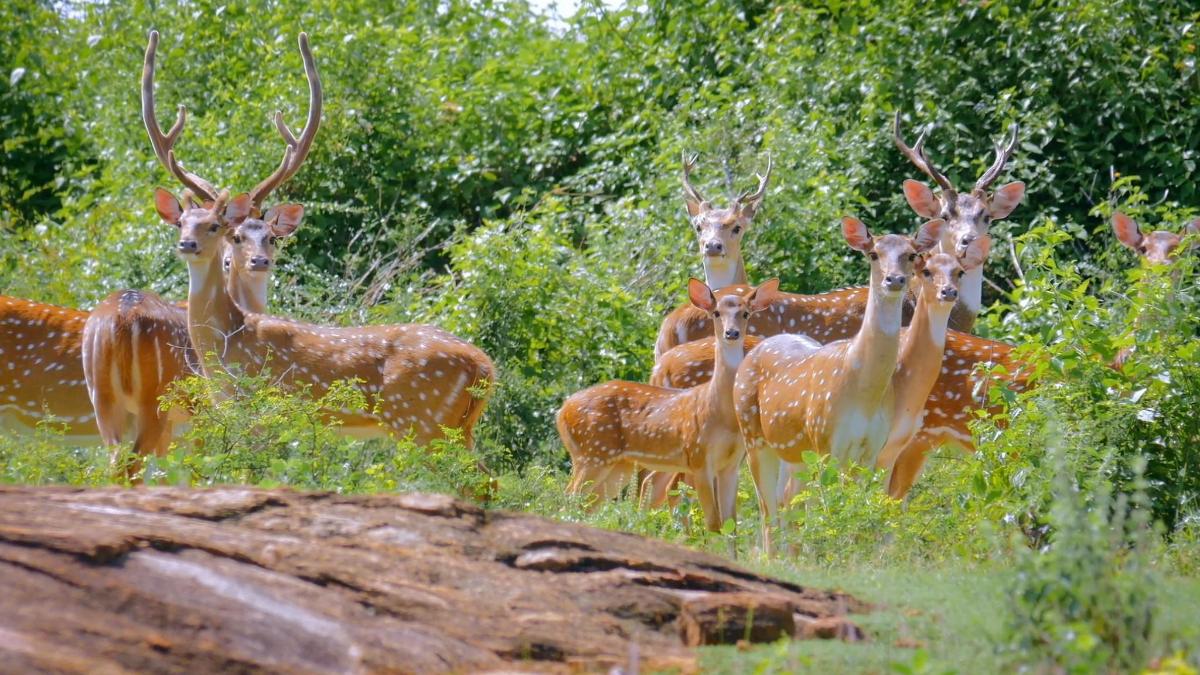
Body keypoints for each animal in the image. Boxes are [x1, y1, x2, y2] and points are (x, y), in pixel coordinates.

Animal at [82, 28, 321, 470]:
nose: (259, 261)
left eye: (272, 236)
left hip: (102, 401)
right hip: (156, 404)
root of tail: (120, 321)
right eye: (234, 237)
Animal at [559, 276, 782, 528]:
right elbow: (714, 524)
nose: (731, 333)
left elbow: (730, 524)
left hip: (616, 465)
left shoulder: (729, 464)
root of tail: (562, 411)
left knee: (590, 504)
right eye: (716, 312)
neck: (720, 412)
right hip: (591, 455)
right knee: (570, 499)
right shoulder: (699, 458)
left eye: (745, 313)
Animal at [734, 214, 940, 552]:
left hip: (795, 451)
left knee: (787, 500)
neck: (864, 392)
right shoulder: (828, 441)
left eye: (911, 254)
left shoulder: (871, 448)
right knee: (767, 509)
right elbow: (831, 509)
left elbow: (858, 510)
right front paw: (834, 553)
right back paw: (772, 556)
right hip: (752, 434)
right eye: (873, 253)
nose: (894, 280)